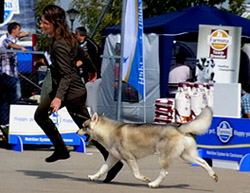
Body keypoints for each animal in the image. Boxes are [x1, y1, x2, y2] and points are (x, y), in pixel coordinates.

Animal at [78, 107, 217, 188]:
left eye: (84, 126)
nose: (77, 131)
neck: (108, 131)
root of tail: (178, 127)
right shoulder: (113, 157)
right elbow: (102, 169)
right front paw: (94, 176)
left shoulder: (130, 158)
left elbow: (136, 174)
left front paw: (145, 179)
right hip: (187, 156)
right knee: (203, 162)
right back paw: (213, 175)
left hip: (163, 157)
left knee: (164, 172)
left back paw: (154, 183)